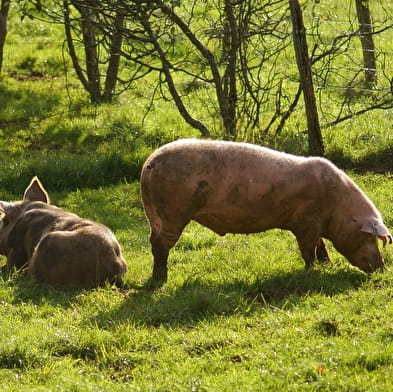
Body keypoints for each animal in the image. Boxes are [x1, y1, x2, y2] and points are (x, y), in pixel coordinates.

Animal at [139, 138, 390, 282]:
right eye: (369, 238)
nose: (382, 268)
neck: (336, 206)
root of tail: (149, 164)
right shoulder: (305, 223)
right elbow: (308, 249)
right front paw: (312, 272)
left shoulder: (315, 224)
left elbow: (321, 245)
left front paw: (327, 265)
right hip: (173, 212)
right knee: (161, 245)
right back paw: (160, 280)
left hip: (156, 215)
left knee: (153, 240)